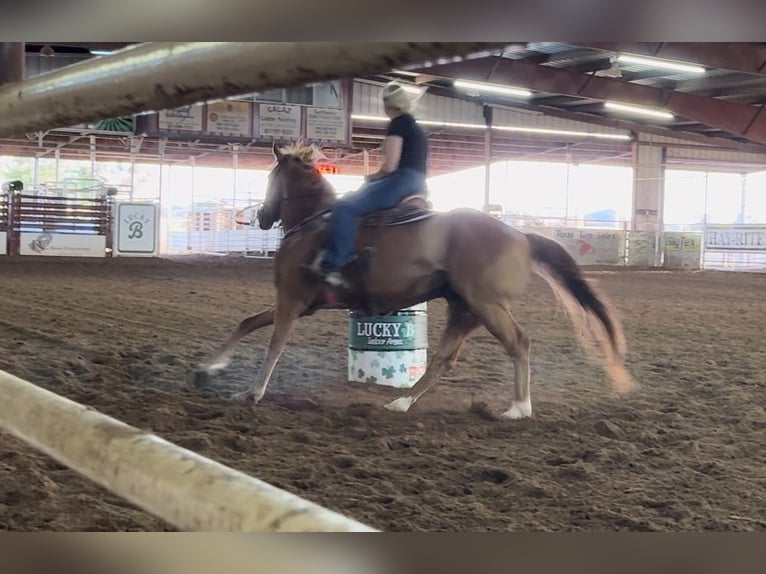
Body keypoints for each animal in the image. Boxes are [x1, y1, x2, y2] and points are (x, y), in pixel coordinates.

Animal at [198, 142, 636, 420]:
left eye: (271, 179)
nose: (261, 217)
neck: (313, 223)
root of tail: (522, 236)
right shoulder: (304, 303)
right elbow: (249, 322)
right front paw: (210, 365)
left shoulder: (291, 298)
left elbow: (274, 344)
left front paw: (251, 392)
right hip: (465, 308)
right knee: (443, 359)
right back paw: (403, 403)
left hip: (485, 304)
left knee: (518, 342)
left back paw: (518, 408)